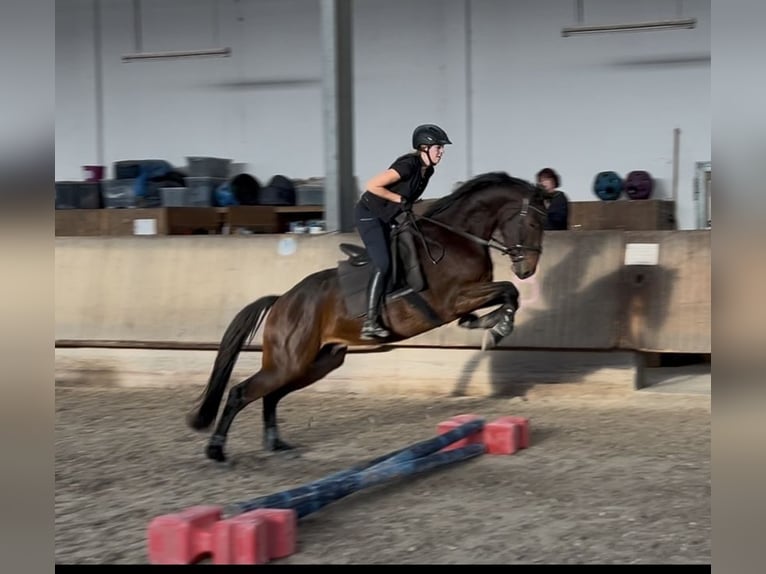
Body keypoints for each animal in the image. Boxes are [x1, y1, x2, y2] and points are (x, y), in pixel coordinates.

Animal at [186, 171, 548, 462]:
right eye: (533, 223)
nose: (527, 269)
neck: (457, 237)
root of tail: (282, 301)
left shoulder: (465, 300)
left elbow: (503, 298)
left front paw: (491, 326)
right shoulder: (454, 298)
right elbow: (508, 291)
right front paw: (500, 327)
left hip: (318, 362)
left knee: (271, 395)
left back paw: (276, 444)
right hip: (290, 361)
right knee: (242, 393)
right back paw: (216, 450)